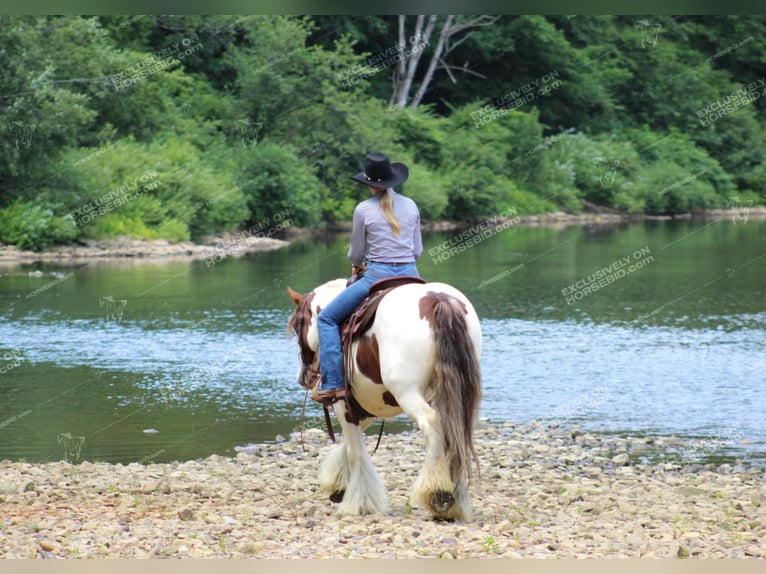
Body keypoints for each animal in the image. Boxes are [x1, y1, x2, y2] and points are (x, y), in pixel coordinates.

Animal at [284, 278, 484, 520]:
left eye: (298, 326)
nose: (302, 376)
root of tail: (438, 299)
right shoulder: (368, 406)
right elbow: (350, 444)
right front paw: (339, 485)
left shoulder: (344, 406)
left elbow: (354, 451)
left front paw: (356, 503)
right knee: (457, 430)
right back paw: (456, 499)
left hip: (408, 393)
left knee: (433, 423)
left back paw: (438, 493)